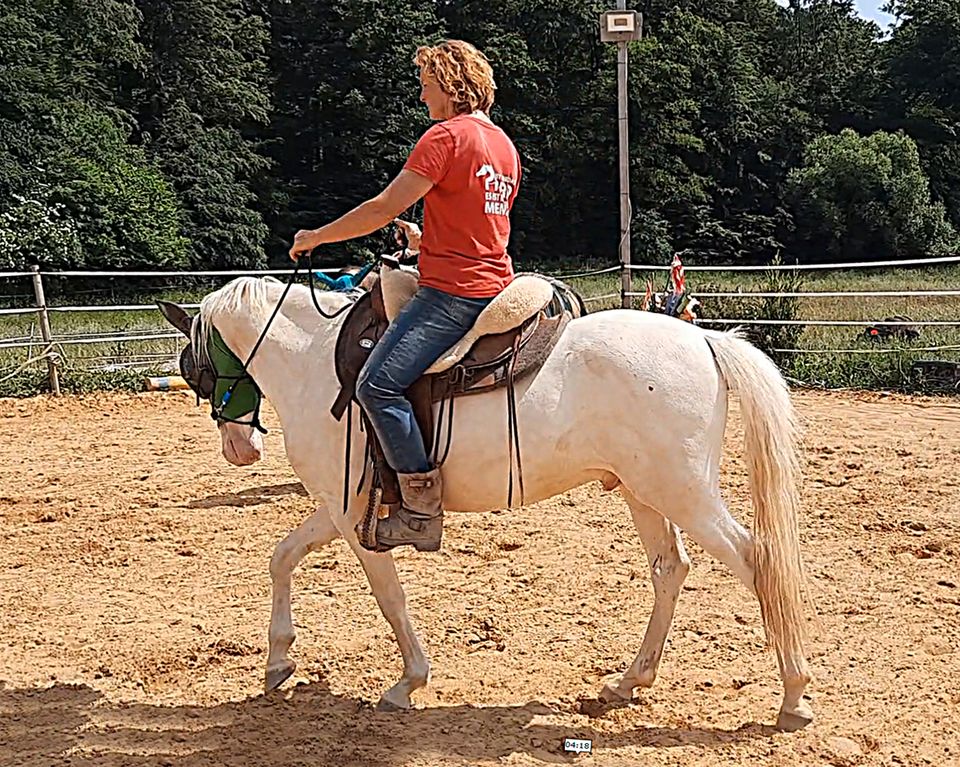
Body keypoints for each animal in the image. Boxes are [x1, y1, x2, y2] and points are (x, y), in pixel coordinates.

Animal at [161, 276, 812, 732]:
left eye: (195, 367)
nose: (240, 448)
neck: (315, 361)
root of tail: (703, 338)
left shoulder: (352, 515)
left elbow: (389, 597)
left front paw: (409, 682)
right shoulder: (337, 507)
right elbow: (282, 557)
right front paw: (277, 661)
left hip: (681, 492)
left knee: (759, 565)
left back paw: (794, 696)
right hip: (644, 491)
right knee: (669, 570)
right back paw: (627, 682)